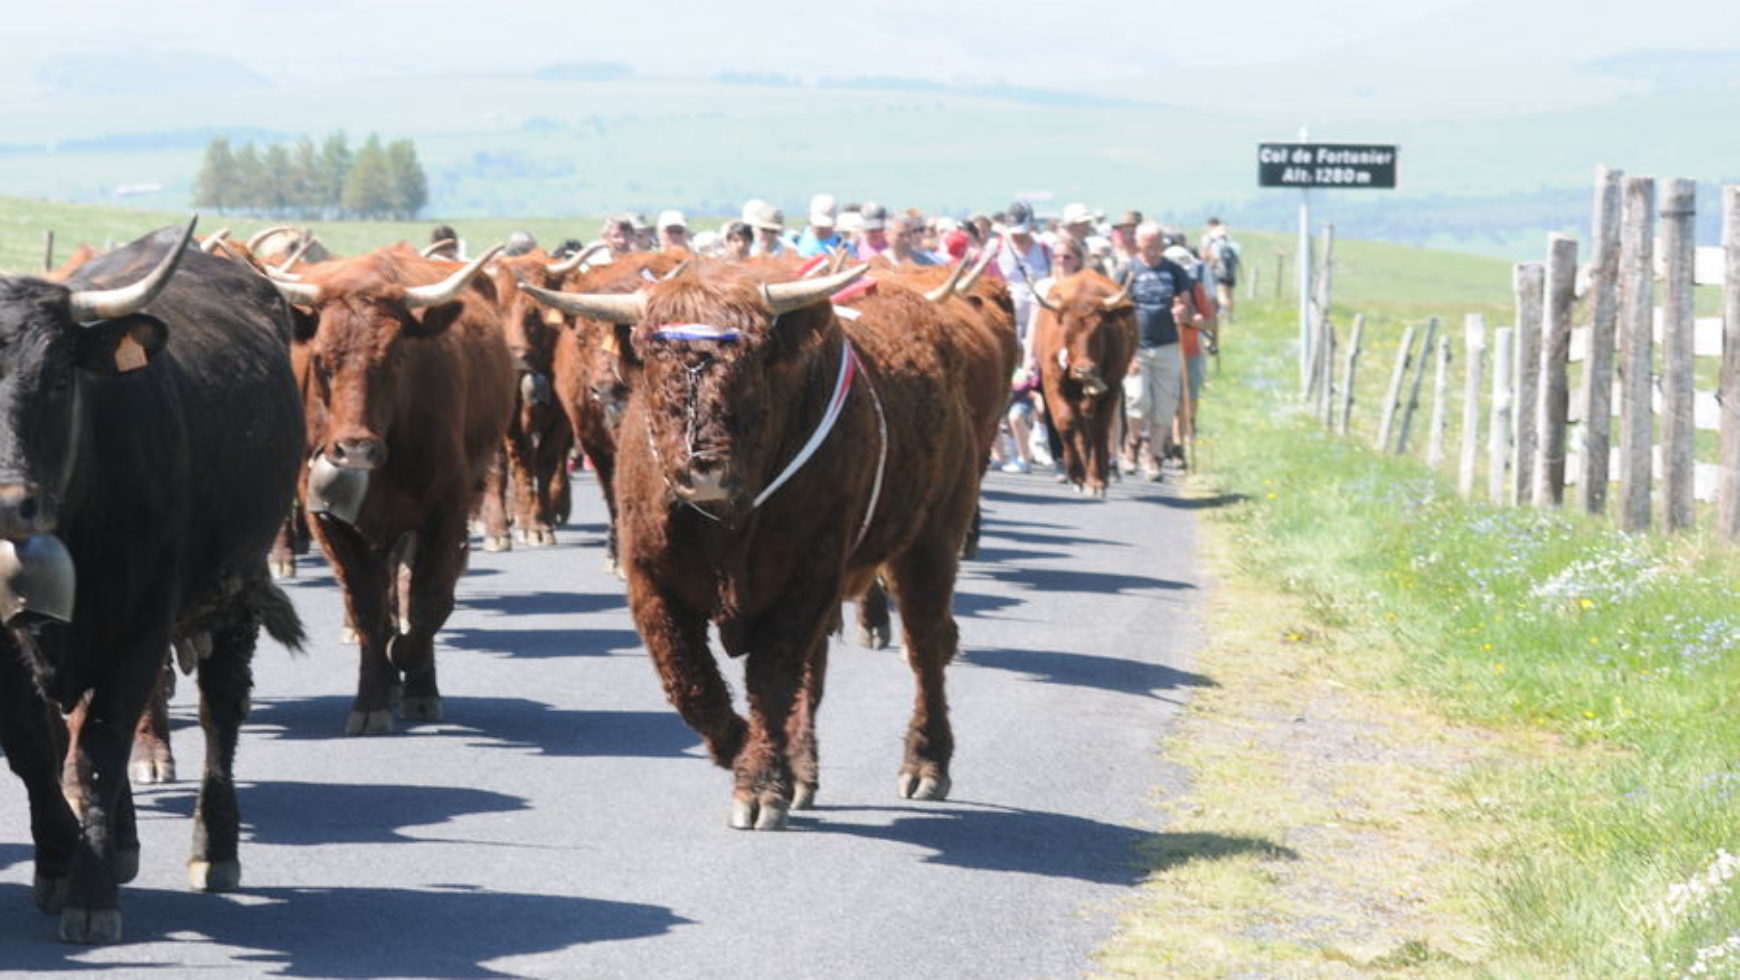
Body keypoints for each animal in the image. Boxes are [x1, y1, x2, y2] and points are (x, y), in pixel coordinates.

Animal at [0, 220, 304, 939]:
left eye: (58, 377)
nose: (7, 503)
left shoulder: (139, 627)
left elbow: (101, 747)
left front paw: (90, 895)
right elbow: (34, 746)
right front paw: (60, 862)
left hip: (235, 591)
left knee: (222, 712)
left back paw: (213, 850)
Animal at [262, 245, 508, 738]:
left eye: (395, 359)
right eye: (322, 361)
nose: (354, 448)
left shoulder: (445, 512)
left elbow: (430, 599)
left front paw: (412, 672)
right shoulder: (329, 520)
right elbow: (366, 606)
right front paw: (372, 698)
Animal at [522, 259, 995, 828]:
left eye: (752, 362)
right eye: (657, 361)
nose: (703, 469)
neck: (726, 526)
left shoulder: (807, 575)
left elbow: (771, 678)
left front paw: (762, 782)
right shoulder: (650, 579)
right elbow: (690, 682)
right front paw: (755, 754)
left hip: (930, 542)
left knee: (926, 647)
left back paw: (925, 764)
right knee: (820, 670)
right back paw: (805, 770)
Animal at [1030, 269, 1141, 494]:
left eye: (1098, 330)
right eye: (1066, 332)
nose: (1084, 370)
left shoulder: (1112, 387)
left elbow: (1100, 429)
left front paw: (1097, 480)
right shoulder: (1052, 383)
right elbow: (1066, 424)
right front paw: (1076, 474)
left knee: (1093, 428)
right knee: (1081, 427)